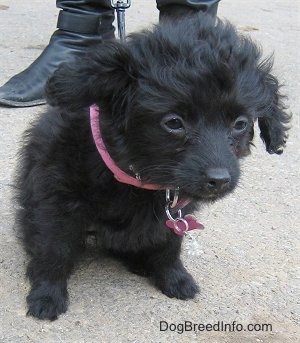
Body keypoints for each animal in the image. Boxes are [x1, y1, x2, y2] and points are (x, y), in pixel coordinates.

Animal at [15, 14, 290, 320]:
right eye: (174, 122)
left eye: (240, 123)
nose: (219, 180)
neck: (135, 174)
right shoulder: (56, 201)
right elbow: (54, 250)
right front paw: (47, 294)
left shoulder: (176, 210)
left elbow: (170, 245)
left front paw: (174, 277)